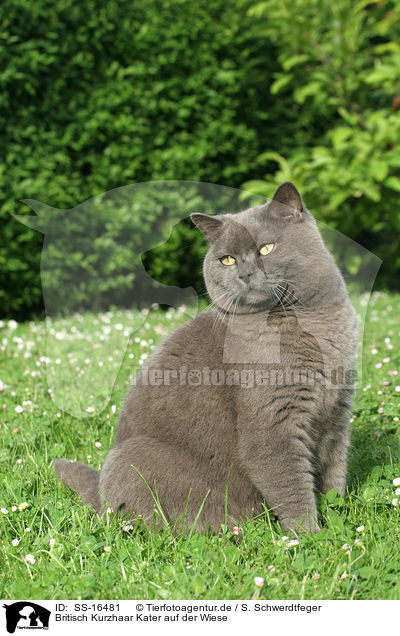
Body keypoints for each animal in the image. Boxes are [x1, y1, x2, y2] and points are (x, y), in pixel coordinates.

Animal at [53, 181, 356, 536]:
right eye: (227, 259)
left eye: (266, 249)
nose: (245, 273)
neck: (311, 325)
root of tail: (100, 496)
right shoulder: (271, 421)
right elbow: (290, 483)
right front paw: (308, 536)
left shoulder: (336, 410)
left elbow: (334, 466)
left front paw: (338, 512)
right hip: (131, 461)